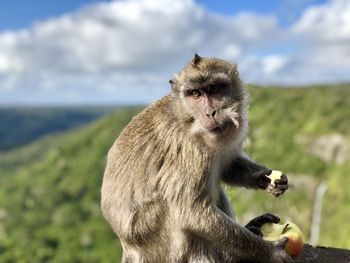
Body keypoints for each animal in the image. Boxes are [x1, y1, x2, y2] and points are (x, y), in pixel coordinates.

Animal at [102, 54, 292, 263]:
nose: (210, 112)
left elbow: (228, 167)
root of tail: (129, 249)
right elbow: (191, 212)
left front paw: (268, 179)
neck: (188, 116)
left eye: (215, 88)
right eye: (195, 94)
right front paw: (271, 252)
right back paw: (231, 255)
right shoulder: (188, 149)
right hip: (154, 239)